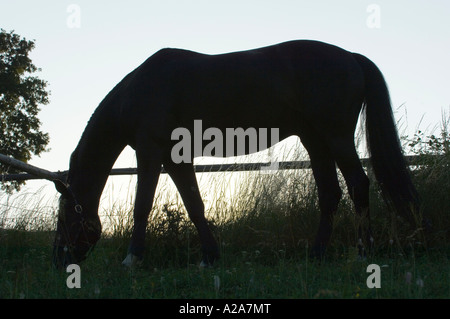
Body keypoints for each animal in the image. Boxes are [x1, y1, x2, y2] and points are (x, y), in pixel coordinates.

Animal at [52, 40, 422, 270]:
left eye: (66, 214)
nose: (60, 260)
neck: (139, 90)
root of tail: (351, 56)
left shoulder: (150, 150)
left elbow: (142, 205)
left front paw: (132, 260)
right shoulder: (175, 158)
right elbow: (195, 205)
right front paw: (209, 258)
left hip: (336, 137)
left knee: (358, 184)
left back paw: (362, 253)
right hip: (315, 141)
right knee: (330, 194)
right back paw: (317, 254)